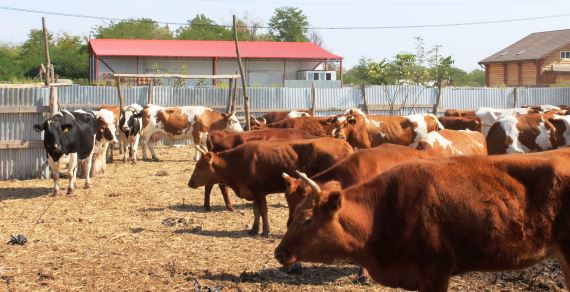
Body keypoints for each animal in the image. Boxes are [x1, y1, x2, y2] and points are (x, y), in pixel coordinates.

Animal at [189, 138, 352, 236]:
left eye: (200, 166)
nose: (189, 183)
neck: (238, 162)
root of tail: (344, 144)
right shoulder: (253, 193)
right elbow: (256, 212)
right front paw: (254, 229)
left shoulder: (259, 192)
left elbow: (263, 212)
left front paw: (266, 231)